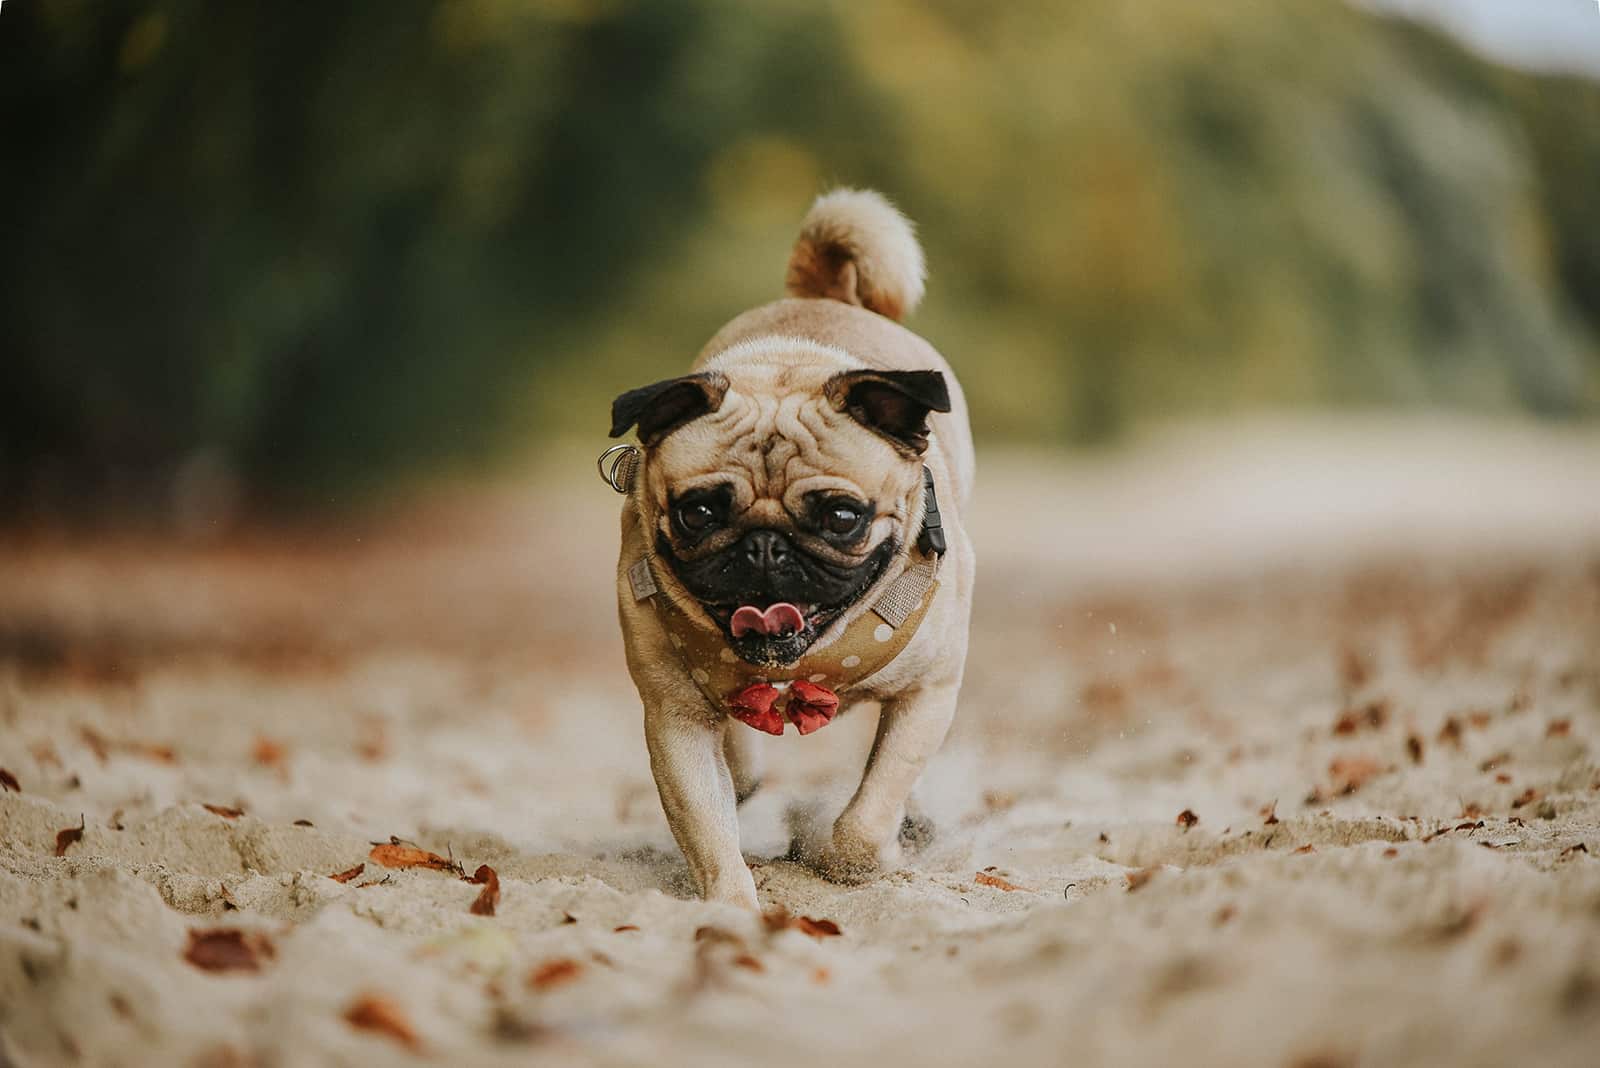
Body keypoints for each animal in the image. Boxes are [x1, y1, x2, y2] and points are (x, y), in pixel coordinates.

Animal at [601, 187, 966, 908]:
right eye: (698, 512)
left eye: (843, 517)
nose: (764, 547)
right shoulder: (674, 723)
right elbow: (707, 828)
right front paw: (733, 906)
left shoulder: (929, 693)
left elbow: (870, 810)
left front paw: (854, 857)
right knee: (737, 768)